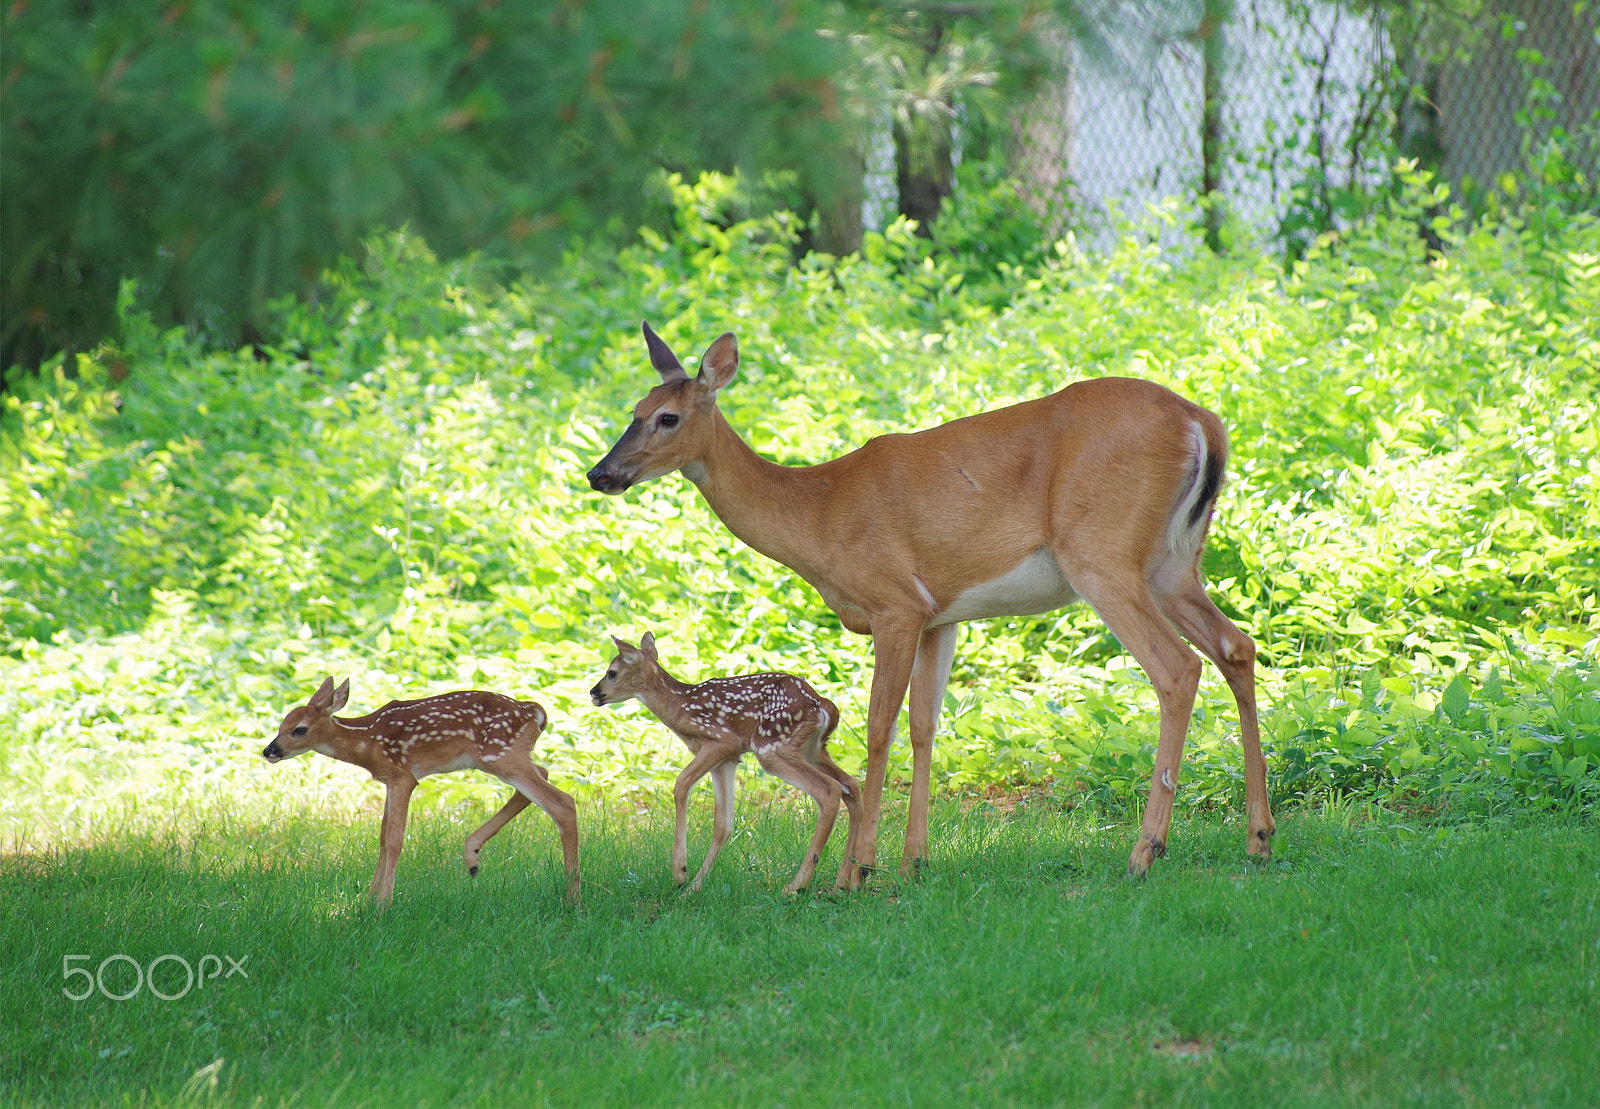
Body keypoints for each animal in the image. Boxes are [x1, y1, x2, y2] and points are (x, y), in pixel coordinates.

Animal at [262, 678, 582, 902]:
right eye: (281, 725)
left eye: (299, 729)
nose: (269, 751)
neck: (367, 742)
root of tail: (534, 711)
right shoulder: (389, 779)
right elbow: (382, 837)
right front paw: (367, 901)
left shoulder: (402, 776)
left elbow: (394, 840)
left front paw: (383, 904)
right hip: (503, 757)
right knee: (543, 775)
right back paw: (473, 854)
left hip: (499, 753)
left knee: (562, 801)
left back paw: (573, 900)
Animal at [588, 321, 1273, 889]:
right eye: (633, 410)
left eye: (668, 417)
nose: (601, 474)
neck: (818, 511)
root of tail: (1202, 423)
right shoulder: (941, 615)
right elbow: (924, 727)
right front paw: (914, 861)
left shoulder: (894, 605)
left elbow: (877, 729)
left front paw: (858, 871)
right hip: (1173, 563)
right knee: (1236, 646)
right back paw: (1259, 837)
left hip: (1102, 555)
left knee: (1178, 669)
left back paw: (1145, 851)